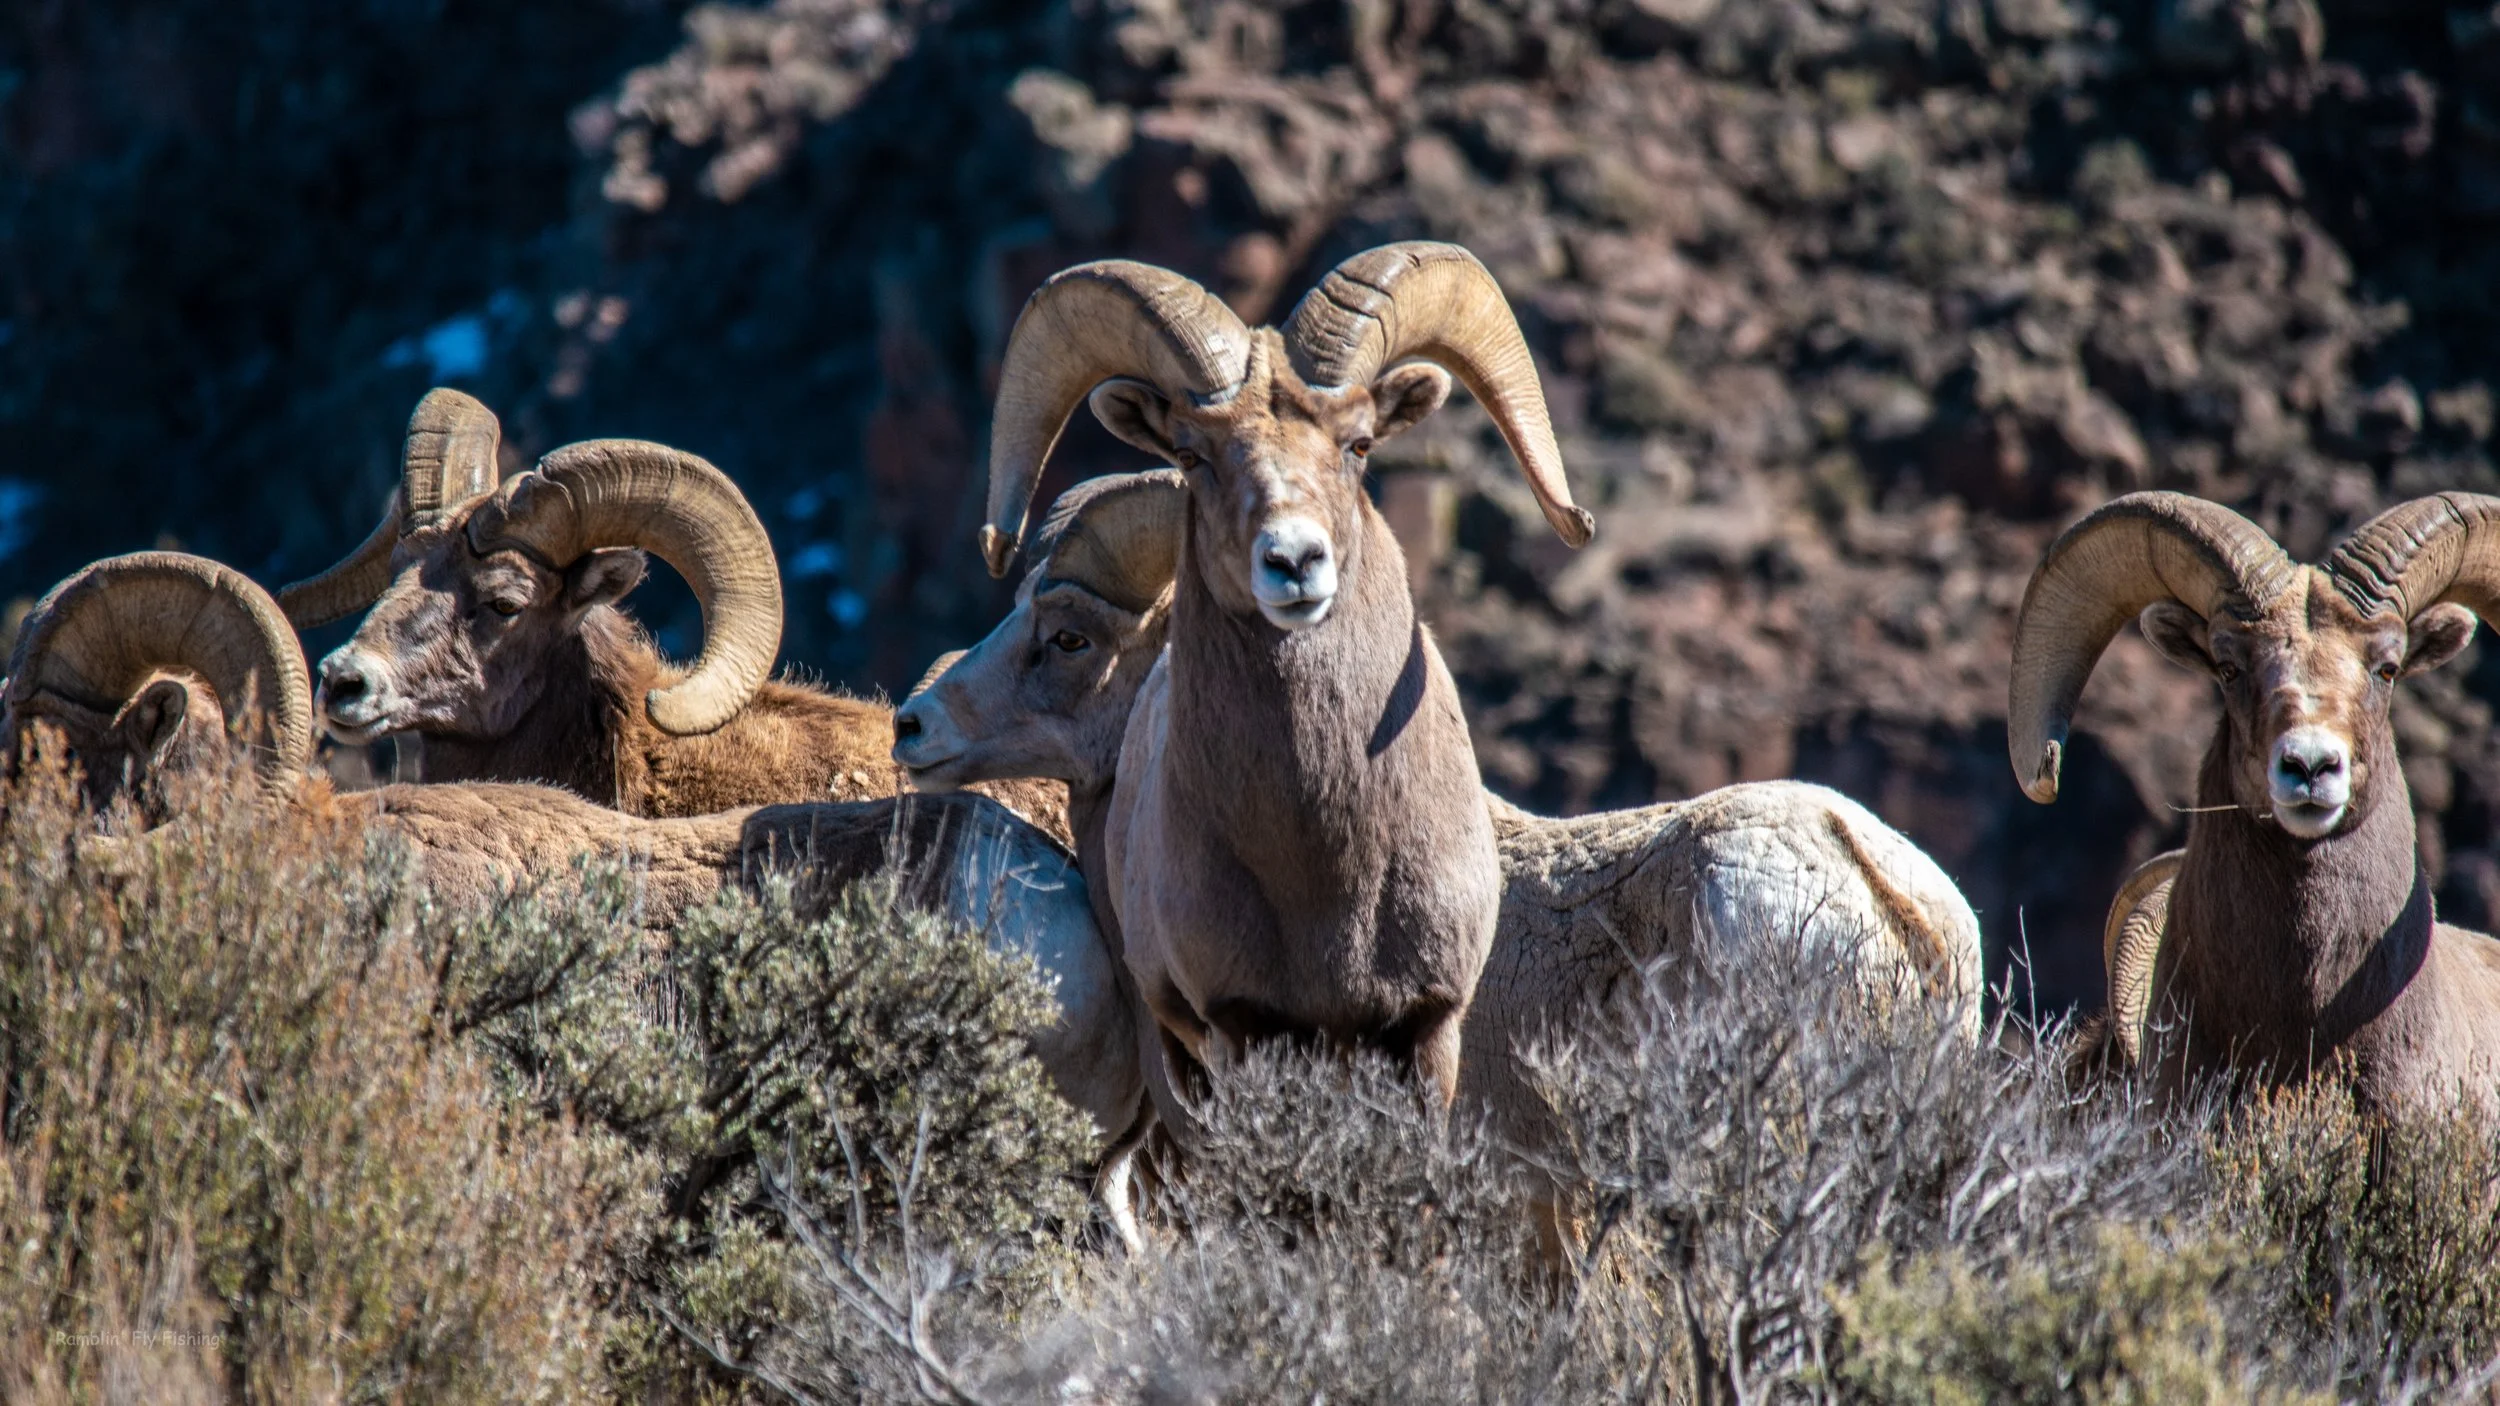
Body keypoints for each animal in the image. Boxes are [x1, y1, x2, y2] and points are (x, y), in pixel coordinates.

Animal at [976, 243, 1598, 1114]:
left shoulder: (1428, 1027)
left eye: (1358, 445)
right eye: (1191, 455)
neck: (1324, 871)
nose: (1295, 562)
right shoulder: (1242, 1029)